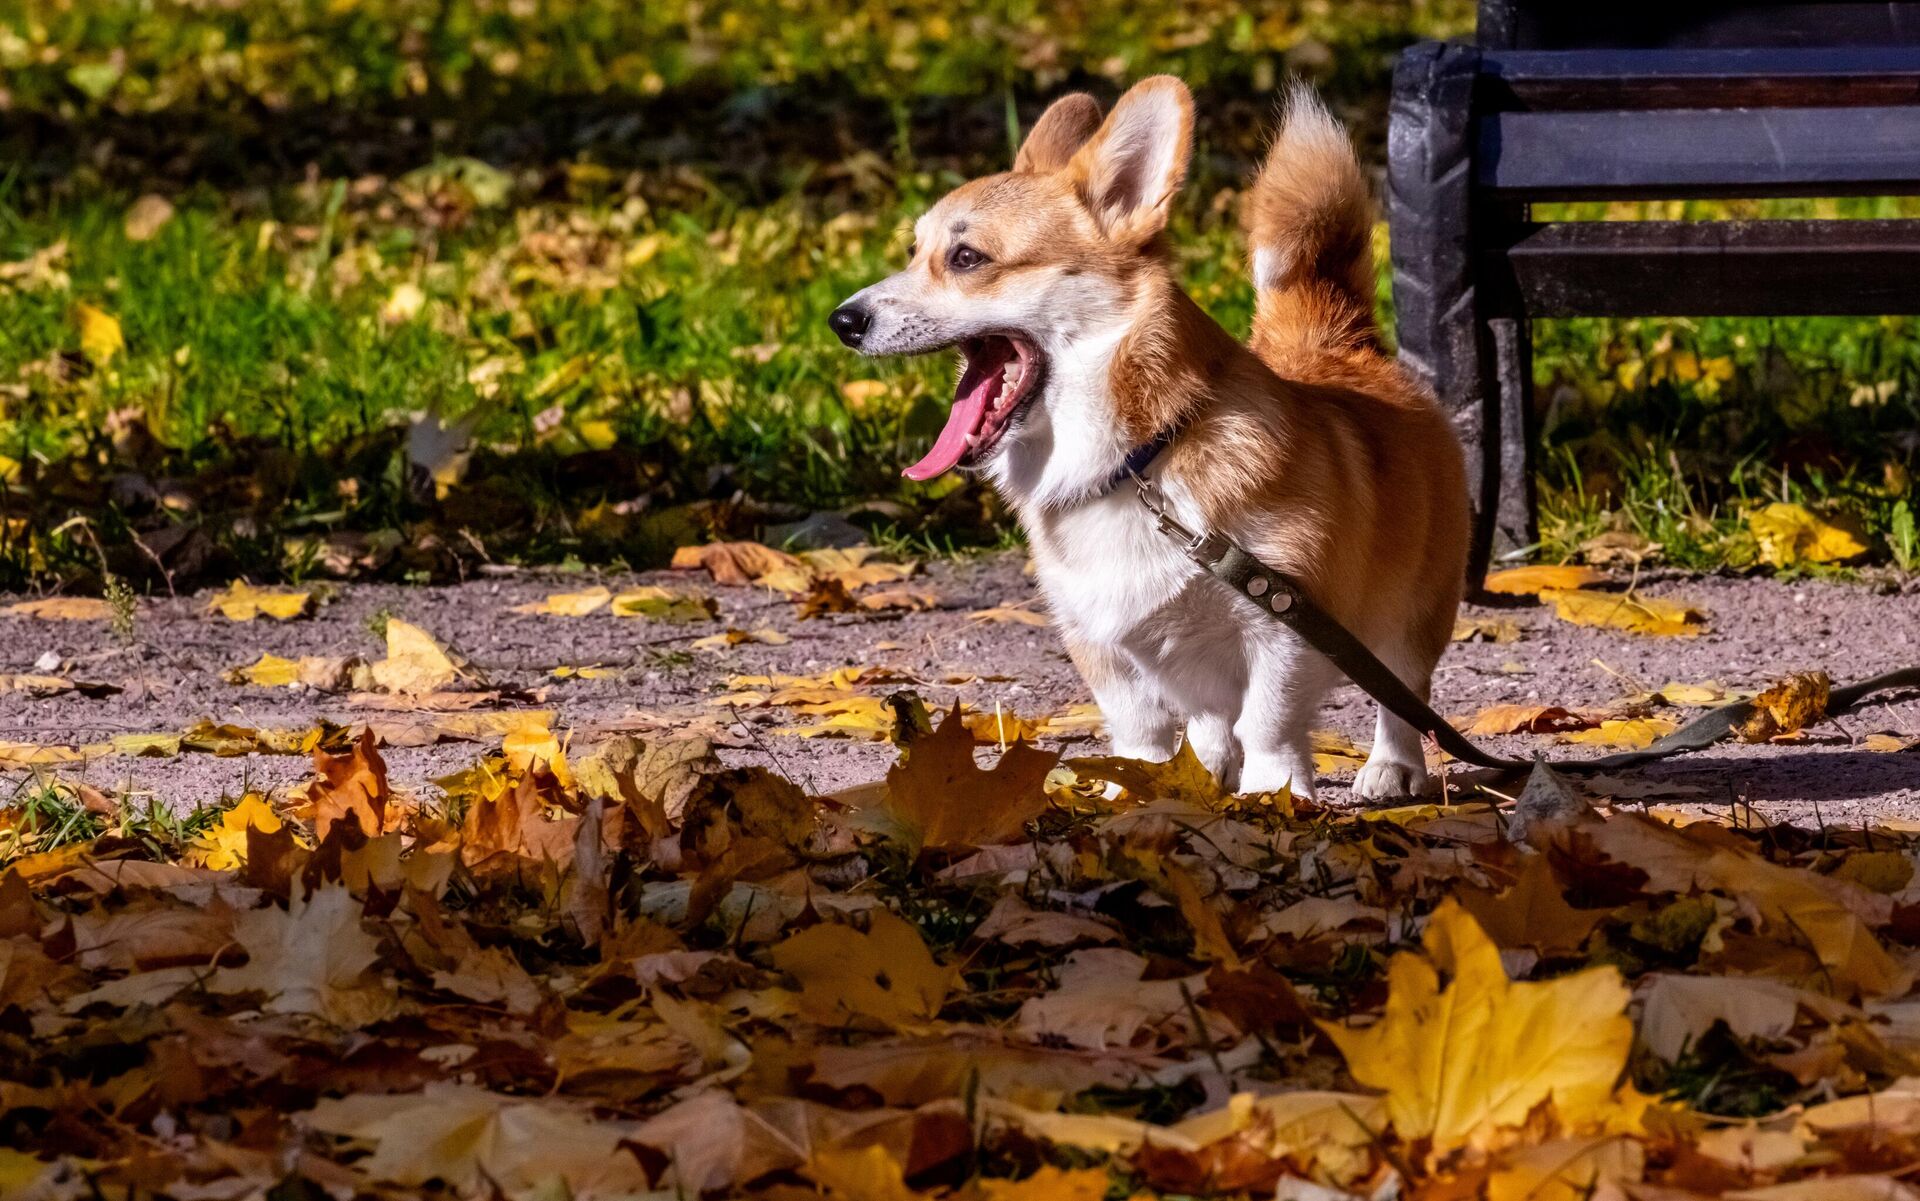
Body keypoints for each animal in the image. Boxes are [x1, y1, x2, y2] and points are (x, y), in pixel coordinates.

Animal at [829, 79, 1466, 798]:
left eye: (967, 259)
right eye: (914, 252)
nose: (842, 320)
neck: (1137, 462)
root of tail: (1336, 341)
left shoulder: (1285, 621)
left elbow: (1270, 725)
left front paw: (1273, 797)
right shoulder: (1098, 640)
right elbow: (1141, 733)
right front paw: (1132, 792)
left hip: (1414, 614)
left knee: (1402, 694)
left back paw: (1392, 766)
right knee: (1209, 716)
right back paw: (1208, 765)